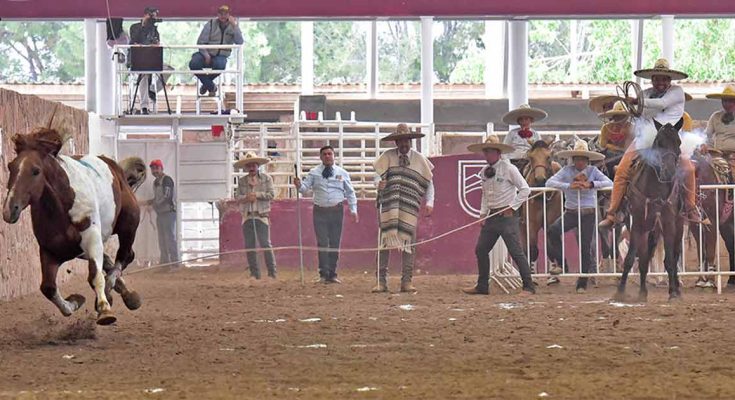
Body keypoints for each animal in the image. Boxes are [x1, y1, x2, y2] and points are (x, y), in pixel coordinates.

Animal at [1, 128, 145, 324]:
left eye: (36, 171)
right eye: (10, 167)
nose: (10, 209)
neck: (61, 206)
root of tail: (118, 170)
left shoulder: (92, 239)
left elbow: (95, 276)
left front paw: (104, 308)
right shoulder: (50, 250)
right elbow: (48, 288)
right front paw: (75, 302)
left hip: (128, 227)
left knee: (124, 257)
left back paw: (118, 294)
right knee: (110, 261)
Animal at [620, 119, 688, 304]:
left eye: (679, 142)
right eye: (658, 142)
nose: (669, 172)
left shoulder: (668, 223)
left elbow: (670, 259)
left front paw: (672, 293)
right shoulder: (637, 223)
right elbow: (632, 258)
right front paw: (620, 292)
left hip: (678, 225)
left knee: (675, 254)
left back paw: (677, 288)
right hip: (651, 228)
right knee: (646, 256)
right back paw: (643, 291)